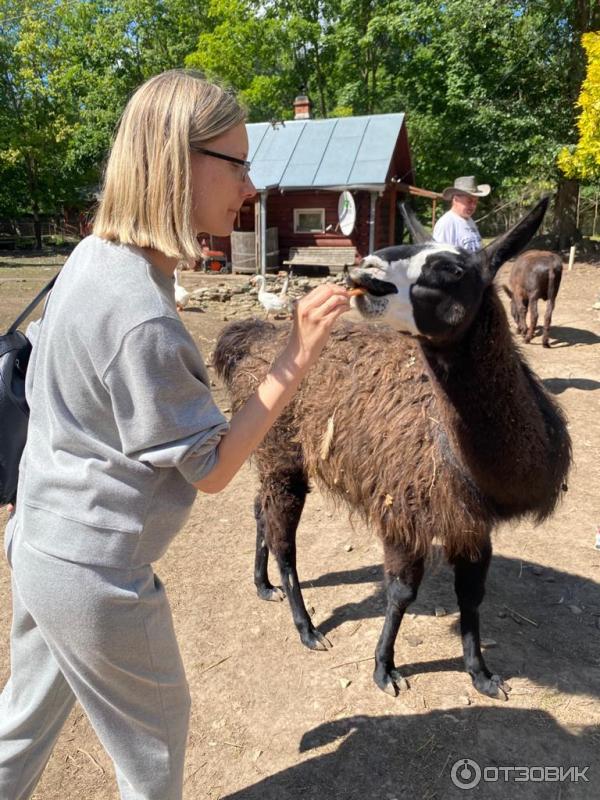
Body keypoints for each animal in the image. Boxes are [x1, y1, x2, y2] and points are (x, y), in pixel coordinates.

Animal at [213, 202, 568, 700]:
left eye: (453, 268)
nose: (366, 269)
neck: (465, 463)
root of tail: (255, 339)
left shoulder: (470, 521)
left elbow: (472, 595)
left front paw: (481, 673)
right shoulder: (403, 506)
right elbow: (401, 592)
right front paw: (385, 668)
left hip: (276, 455)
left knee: (259, 509)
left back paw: (263, 585)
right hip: (281, 452)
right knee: (284, 539)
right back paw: (307, 628)